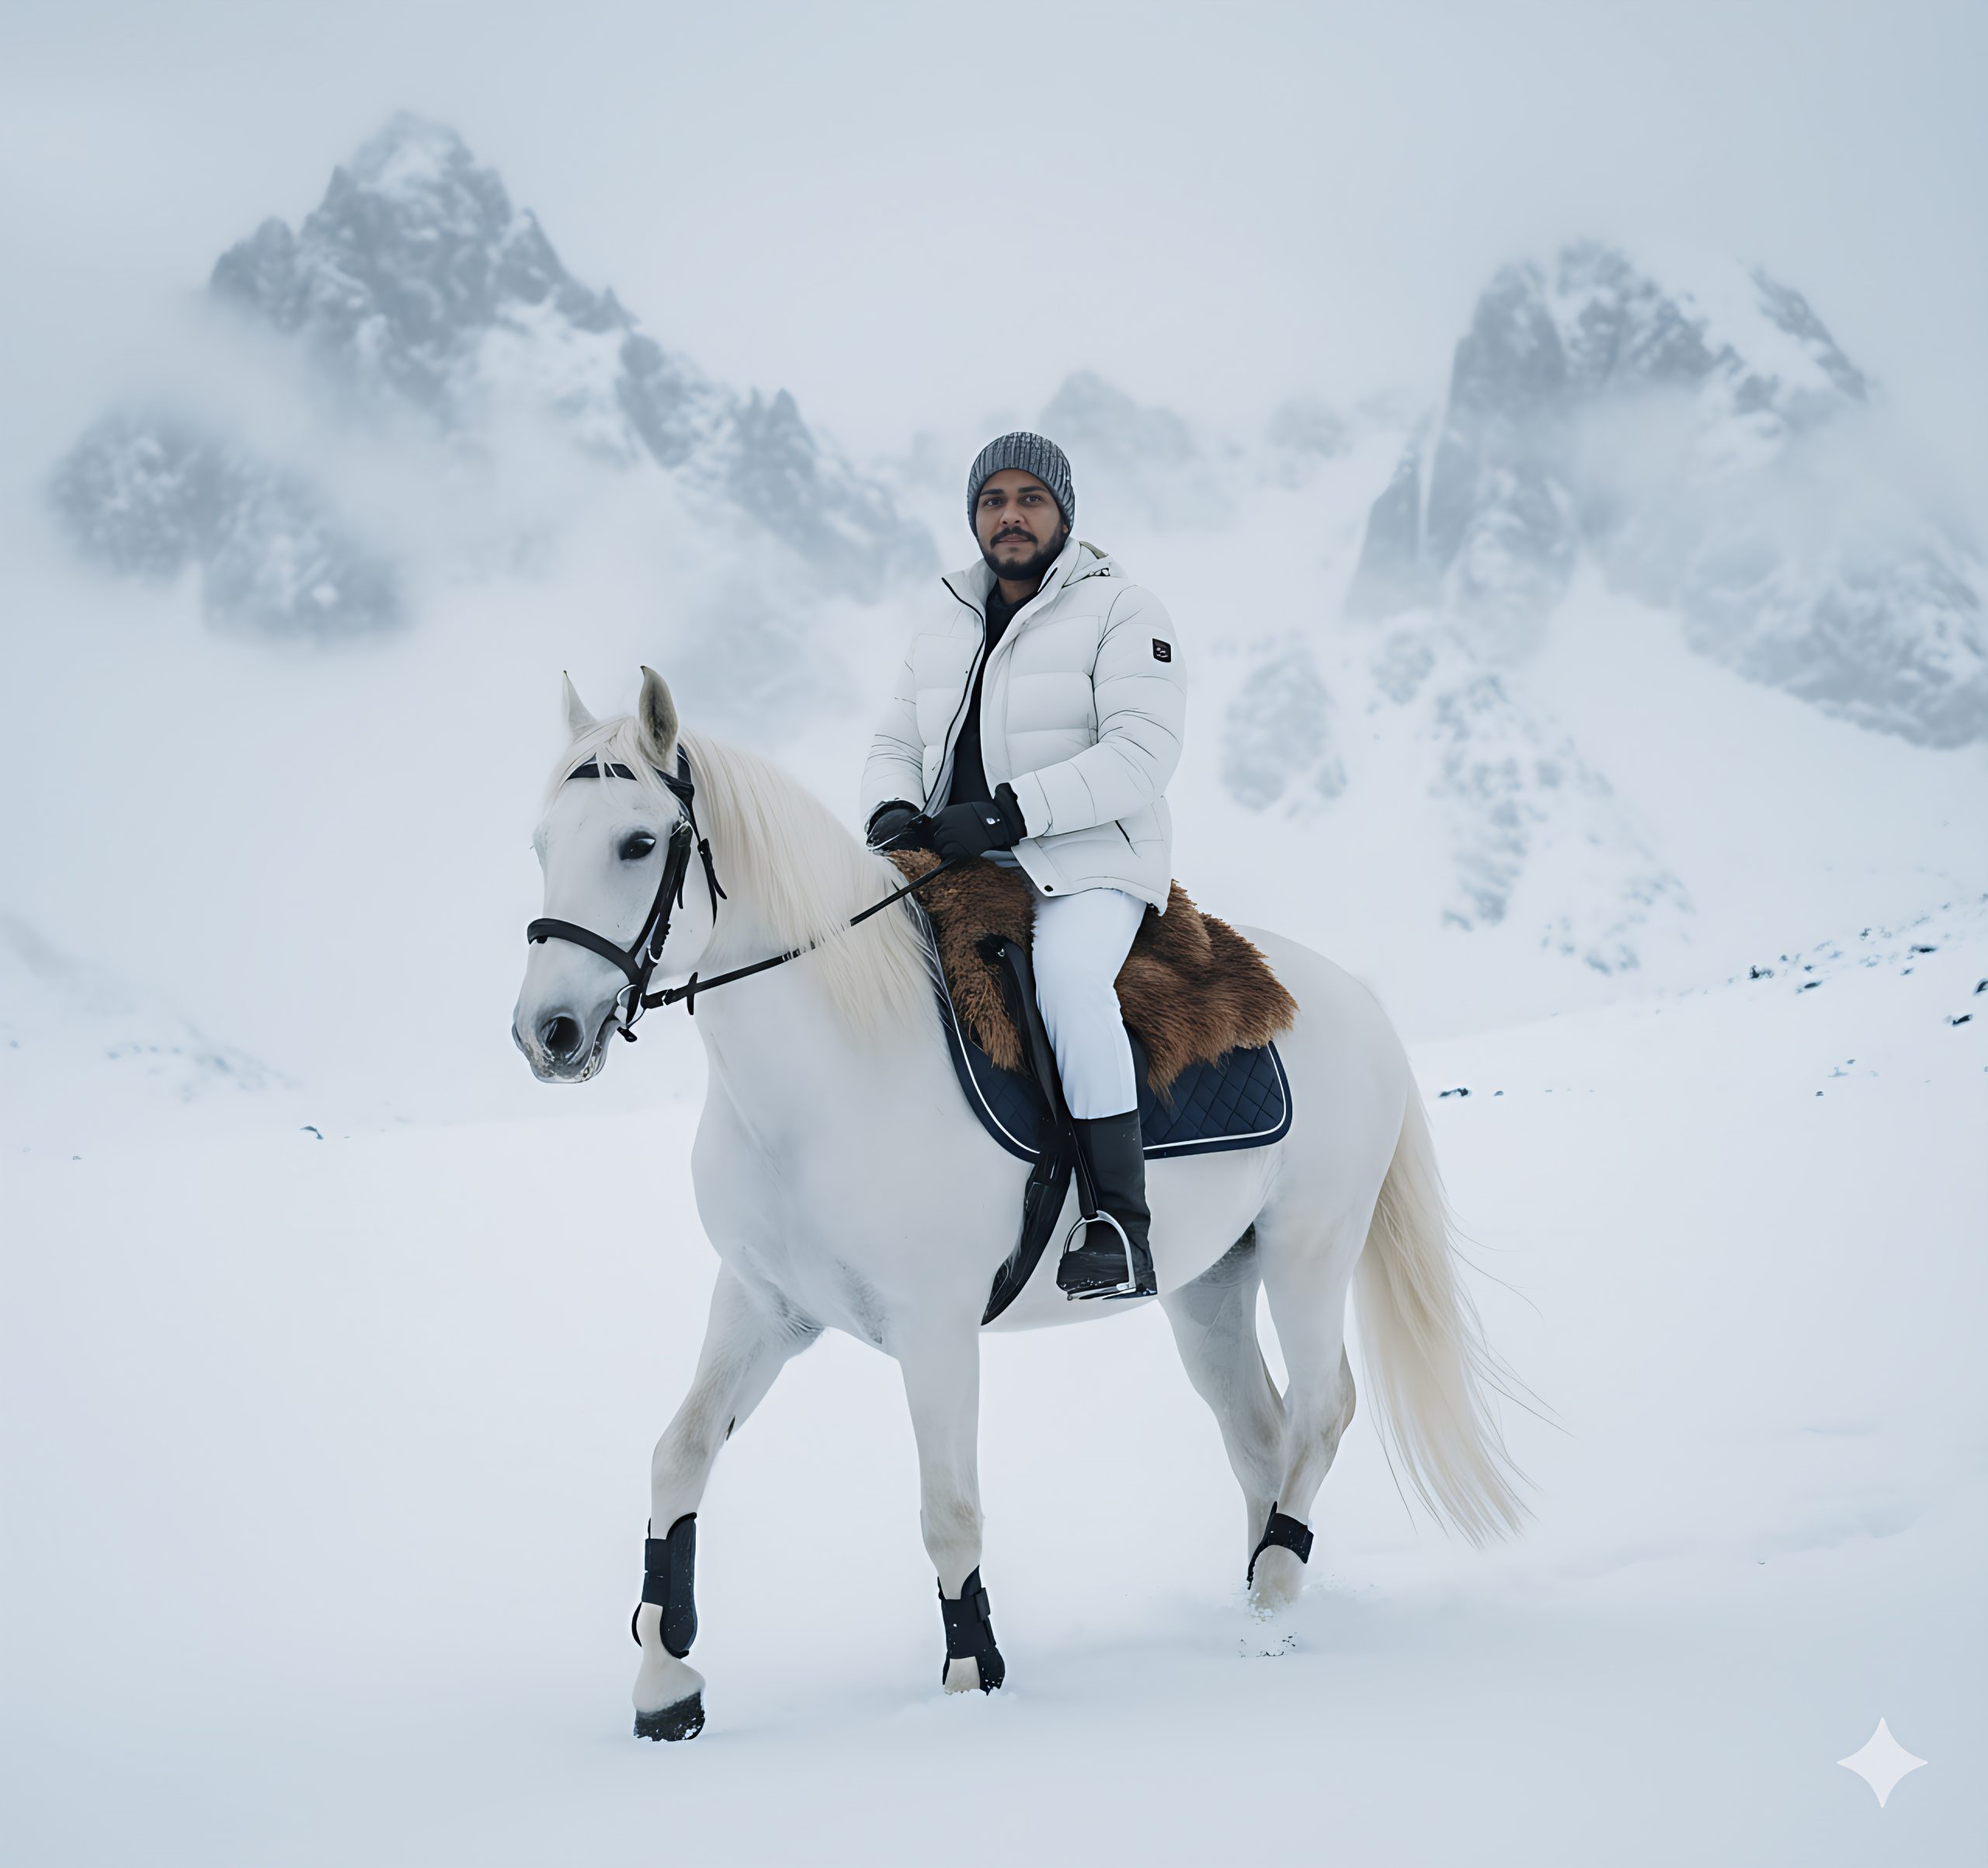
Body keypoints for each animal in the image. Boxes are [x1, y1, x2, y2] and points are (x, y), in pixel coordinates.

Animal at [513, 667, 1529, 1741]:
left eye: (637, 842)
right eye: (542, 843)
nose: (549, 1033)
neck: (829, 1074)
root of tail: (1351, 999)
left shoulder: (935, 1331)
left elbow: (947, 1510)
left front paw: (972, 1680)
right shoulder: (762, 1305)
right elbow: (679, 1456)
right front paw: (664, 1686)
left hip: (1309, 1249)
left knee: (1322, 1410)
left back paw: (1274, 1596)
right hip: (1210, 1286)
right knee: (1260, 1436)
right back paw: (1264, 1600)